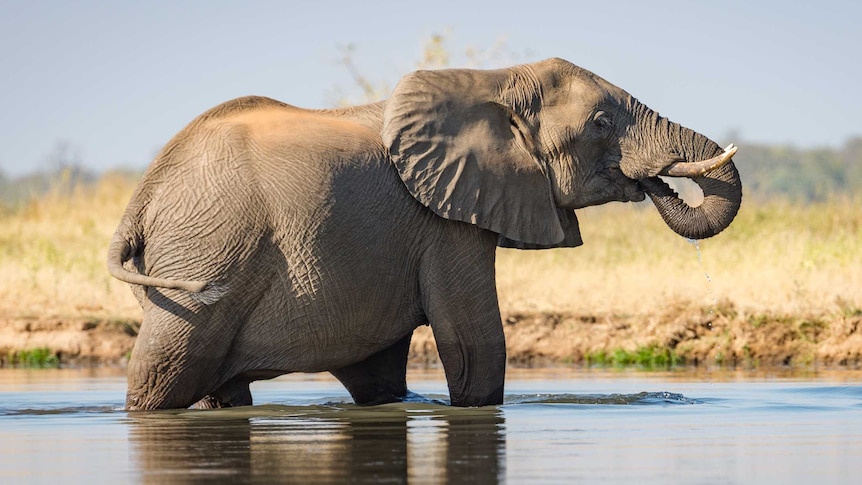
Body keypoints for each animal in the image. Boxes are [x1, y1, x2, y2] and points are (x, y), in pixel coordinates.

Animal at [108, 58, 744, 410]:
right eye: (602, 123)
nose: (654, 183)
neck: (496, 81)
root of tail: (142, 196)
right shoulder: (445, 222)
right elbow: (474, 342)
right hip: (205, 252)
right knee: (162, 371)